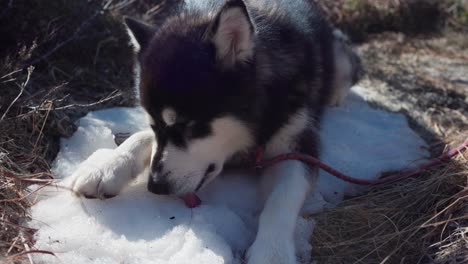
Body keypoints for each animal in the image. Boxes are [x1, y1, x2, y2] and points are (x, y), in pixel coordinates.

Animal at [68, 1, 362, 262]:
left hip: (339, 59)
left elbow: (281, 200)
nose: (155, 186)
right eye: (154, 124)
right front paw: (107, 166)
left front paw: (272, 252)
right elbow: (140, 137)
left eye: (188, 125)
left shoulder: (299, 146)